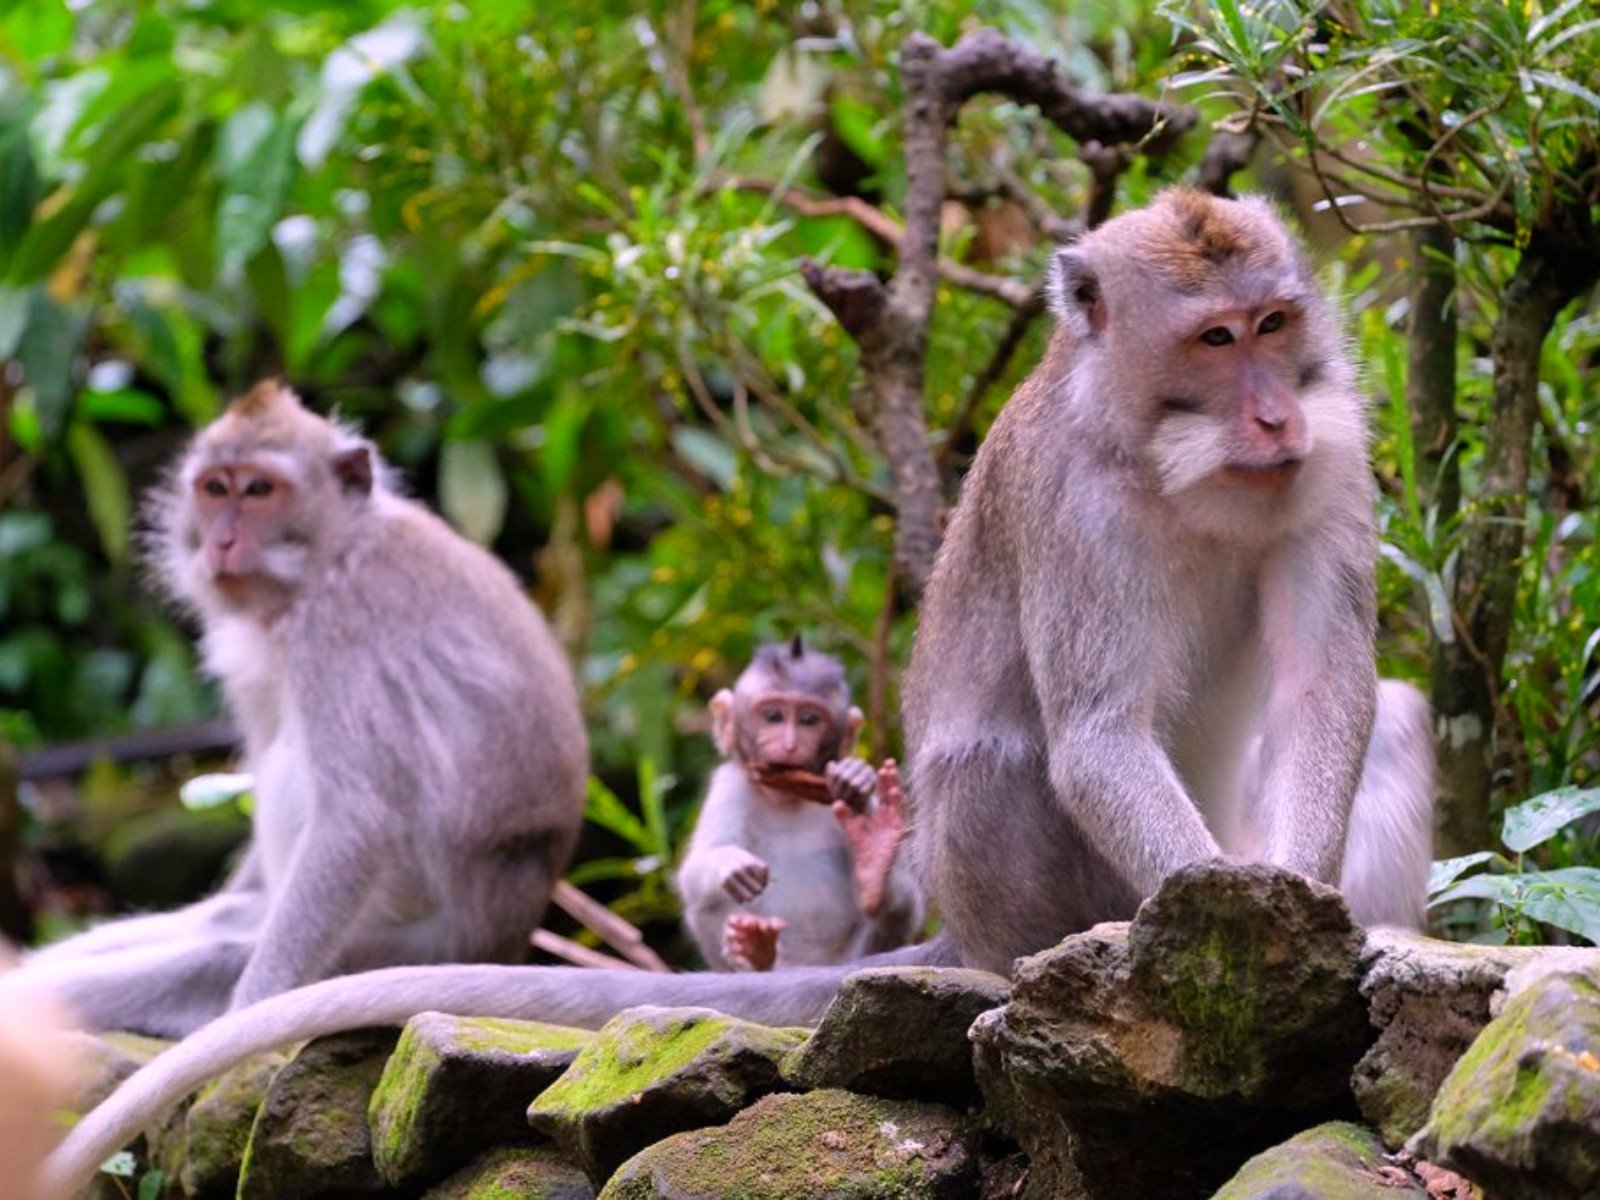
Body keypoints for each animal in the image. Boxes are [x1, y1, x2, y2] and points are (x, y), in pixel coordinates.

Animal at [675, 643, 928, 972]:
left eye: (809, 719)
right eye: (773, 716)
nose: (789, 744)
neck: (788, 798)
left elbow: (913, 900)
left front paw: (855, 784)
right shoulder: (731, 784)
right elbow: (694, 871)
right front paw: (730, 863)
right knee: (705, 902)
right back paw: (754, 953)